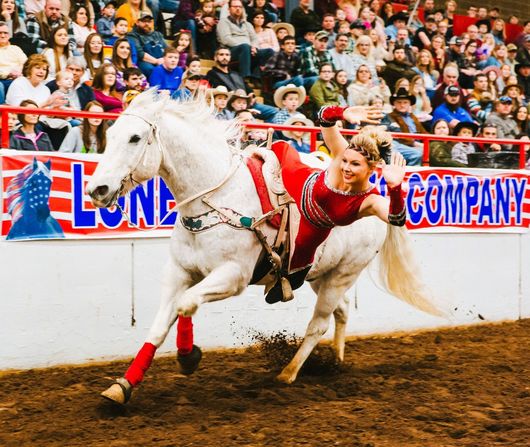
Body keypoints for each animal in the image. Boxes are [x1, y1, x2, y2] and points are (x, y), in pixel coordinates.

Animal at [87, 92, 442, 406]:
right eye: (111, 133)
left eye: (135, 138)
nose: (96, 189)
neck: (217, 198)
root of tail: (374, 191)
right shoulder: (179, 271)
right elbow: (162, 324)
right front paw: (122, 387)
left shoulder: (233, 277)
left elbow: (185, 304)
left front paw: (189, 357)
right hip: (318, 274)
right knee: (340, 311)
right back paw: (335, 363)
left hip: (344, 274)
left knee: (319, 323)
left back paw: (288, 373)